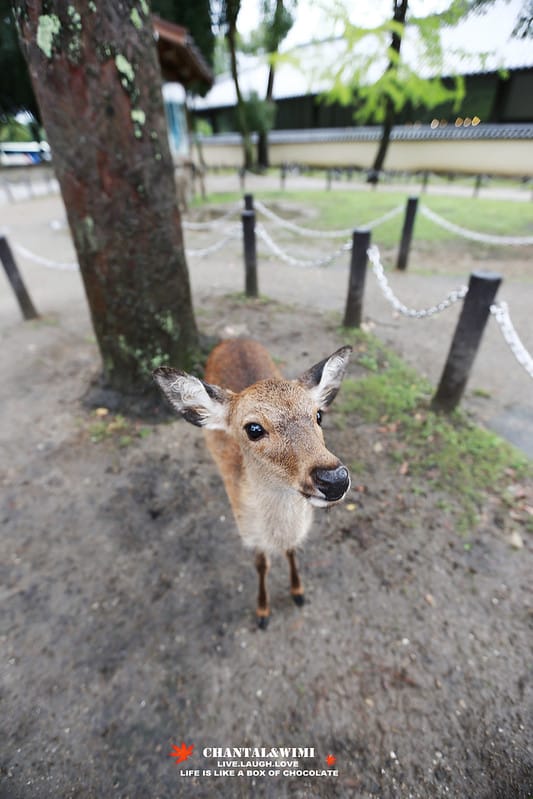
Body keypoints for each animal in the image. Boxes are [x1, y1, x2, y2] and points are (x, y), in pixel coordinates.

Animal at [153, 338, 352, 629]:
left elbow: (292, 551)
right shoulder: (249, 534)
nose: (335, 479)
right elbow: (261, 566)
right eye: (254, 429)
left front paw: (298, 592)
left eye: (318, 415)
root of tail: (233, 339)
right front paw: (262, 612)